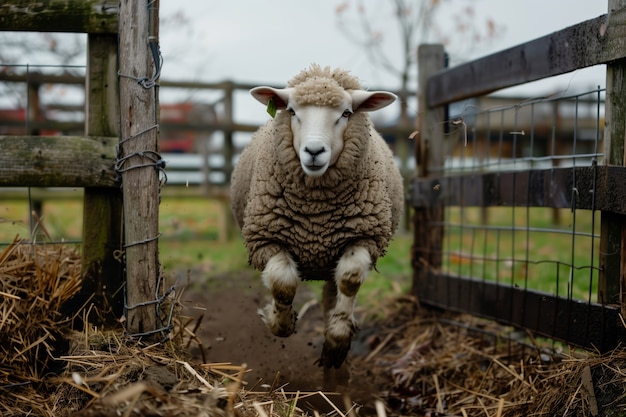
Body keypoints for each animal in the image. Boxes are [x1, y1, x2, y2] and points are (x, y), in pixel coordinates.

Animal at [232, 63, 402, 368]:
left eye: (346, 113)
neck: (316, 215)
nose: (313, 151)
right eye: (292, 111)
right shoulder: (266, 239)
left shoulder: (365, 237)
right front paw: (277, 320)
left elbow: (350, 279)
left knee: (332, 294)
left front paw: (337, 342)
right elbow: (283, 283)